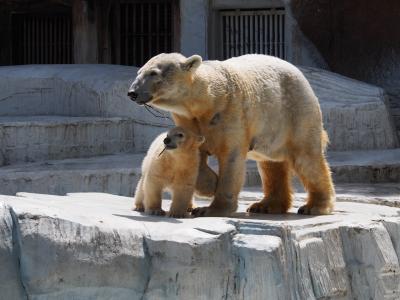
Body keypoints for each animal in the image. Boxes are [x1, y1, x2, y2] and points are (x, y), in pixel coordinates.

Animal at [127, 54, 334, 217]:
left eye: (153, 73)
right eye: (139, 72)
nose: (132, 92)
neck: (208, 101)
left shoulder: (231, 111)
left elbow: (231, 158)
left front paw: (210, 208)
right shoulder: (188, 120)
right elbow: (194, 154)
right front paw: (209, 186)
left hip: (294, 111)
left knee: (306, 159)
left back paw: (314, 206)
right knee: (270, 164)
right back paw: (266, 205)